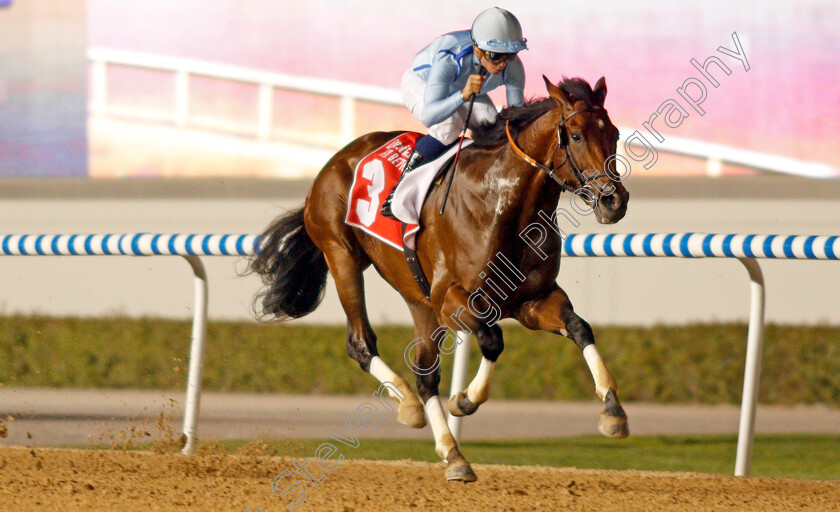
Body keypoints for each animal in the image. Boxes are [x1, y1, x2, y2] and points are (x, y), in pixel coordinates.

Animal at [251, 75, 632, 480]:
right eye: (575, 136)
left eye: (614, 133)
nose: (615, 201)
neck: (503, 206)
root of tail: (336, 160)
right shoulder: (451, 298)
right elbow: (492, 340)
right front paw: (464, 400)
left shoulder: (532, 300)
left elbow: (579, 327)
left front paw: (613, 411)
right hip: (342, 256)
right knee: (361, 343)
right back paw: (408, 406)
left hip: (416, 296)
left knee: (424, 373)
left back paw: (453, 453)